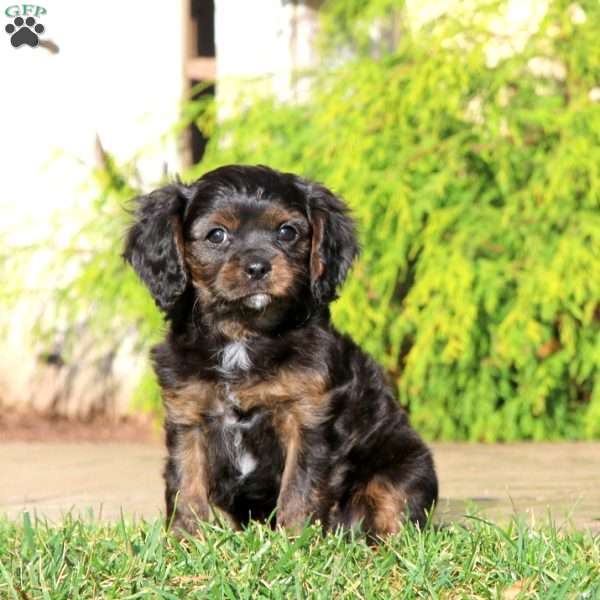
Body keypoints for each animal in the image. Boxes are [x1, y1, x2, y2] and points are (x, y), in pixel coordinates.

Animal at [125, 165, 436, 540]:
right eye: (217, 235)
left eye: (287, 231)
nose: (258, 267)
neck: (243, 336)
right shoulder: (188, 416)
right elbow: (187, 485)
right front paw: (186, 542)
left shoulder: (307, 415)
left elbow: (300, 486)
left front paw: (296, 541)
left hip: (405, 464)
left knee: (391, 504)